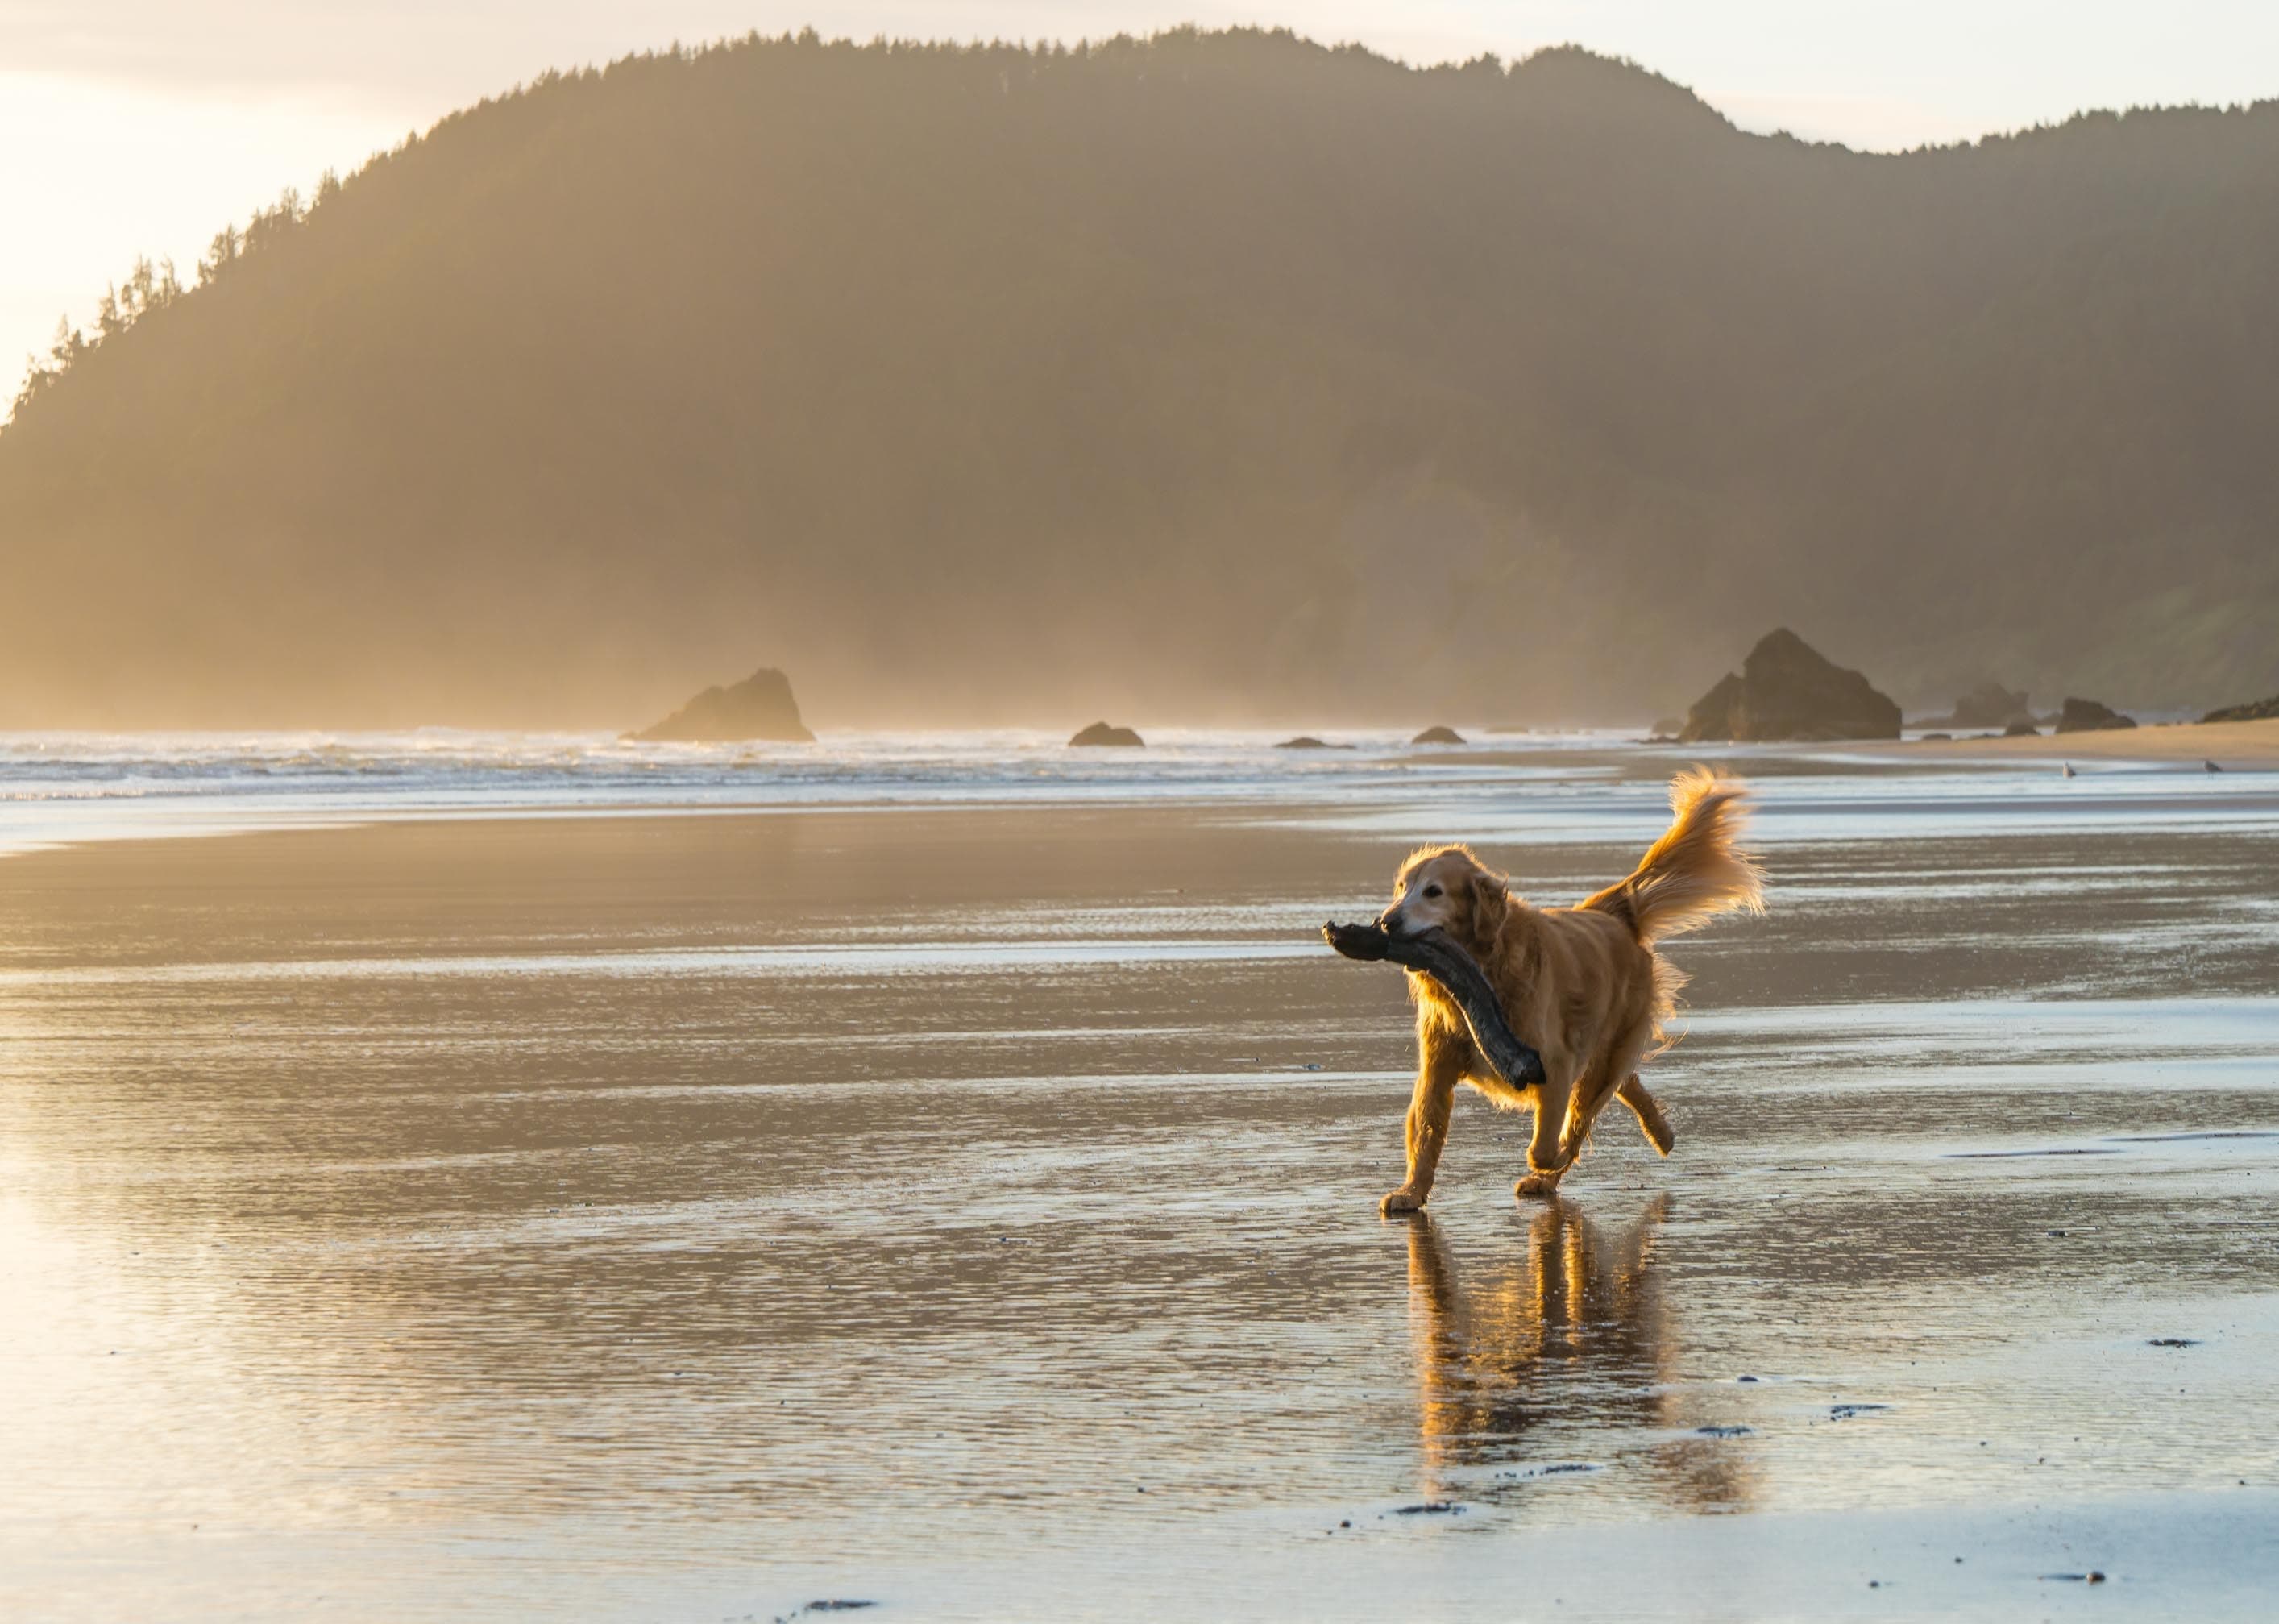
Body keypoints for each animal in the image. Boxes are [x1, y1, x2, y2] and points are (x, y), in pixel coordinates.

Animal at [1367, 765, 1759, 1211]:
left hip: (1601, 1050)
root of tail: (1611, 912)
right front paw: (1410, 1192)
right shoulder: (1437, 1068)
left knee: (1590, 1107)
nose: (1387, 922)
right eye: (1401, 888)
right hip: (1604, 1053)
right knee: (1624, 1083)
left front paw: (1549, 1160)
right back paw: (1660, 1133)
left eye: (1433, 891)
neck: (1485, 971)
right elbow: (1426, 1134)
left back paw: (1560, 1168)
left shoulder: (1554, 1062)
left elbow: (1546, 1142)